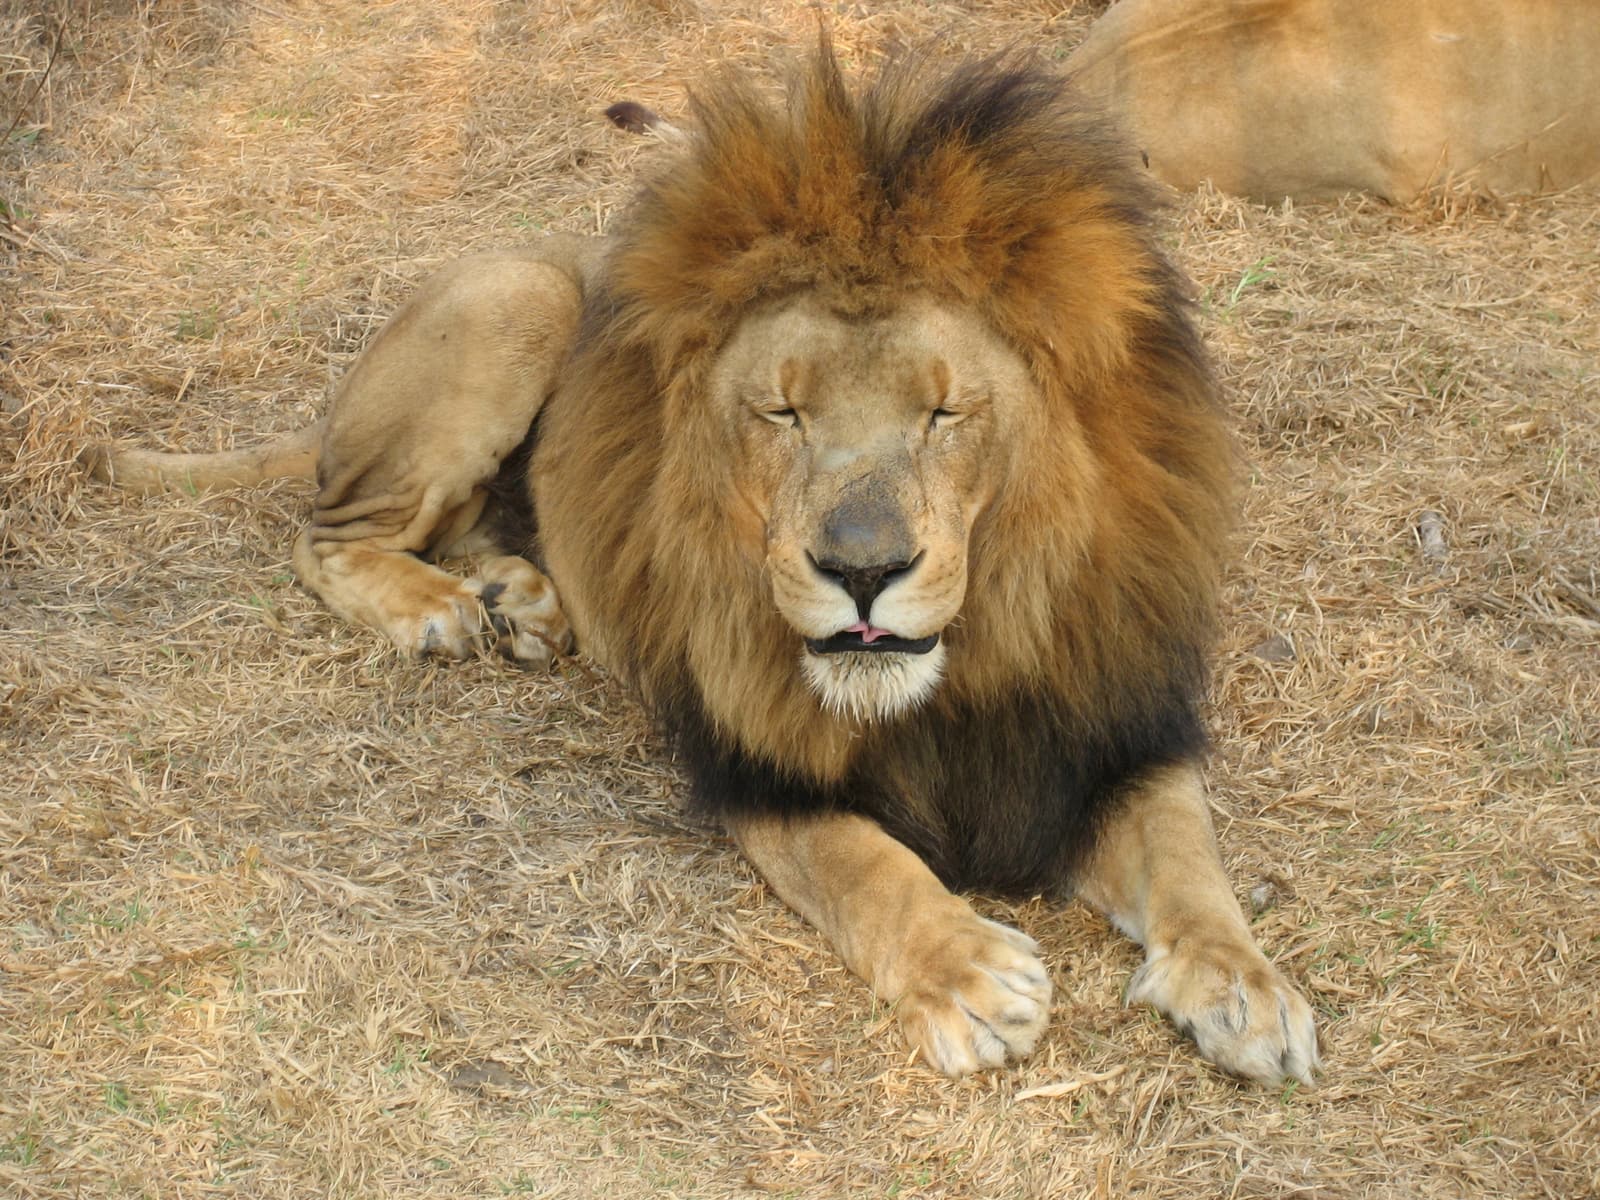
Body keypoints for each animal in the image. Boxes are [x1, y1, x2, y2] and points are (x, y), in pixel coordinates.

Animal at [94, 48, 1319, 1083]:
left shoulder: (1114, 719)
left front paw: (1245, 988)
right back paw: (438, 609)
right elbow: (863, 865)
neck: (961, 667)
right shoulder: (752, 760)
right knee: (325, 533)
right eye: (781, 411)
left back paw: (515, 596)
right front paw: (969, 976)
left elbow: (1187, 852)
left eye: (944, 412)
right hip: (517, 299)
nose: (861, 571)